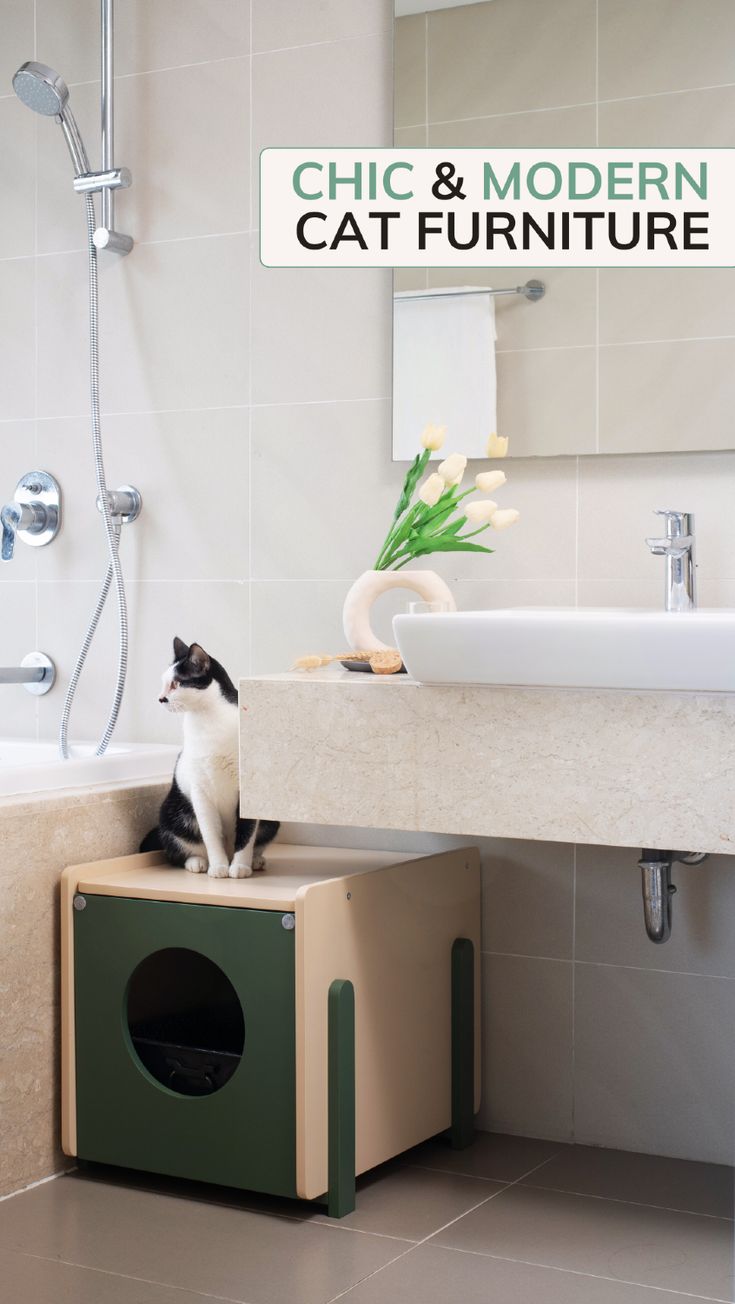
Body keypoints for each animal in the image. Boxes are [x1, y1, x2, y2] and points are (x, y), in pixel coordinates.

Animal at [140, 638, 278, 881]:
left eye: (176, 683)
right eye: (164, 683)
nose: (160, 698)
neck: (208, 719)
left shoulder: (247, 791)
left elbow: (246, 832)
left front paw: (240, 867)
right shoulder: (200, 791)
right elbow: (210, 834)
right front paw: (219, 867)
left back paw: (255, 859)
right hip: (172, 813)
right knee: (179, 849)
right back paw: (197, 862)